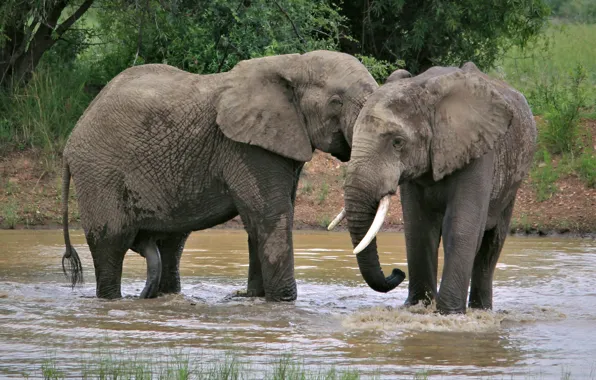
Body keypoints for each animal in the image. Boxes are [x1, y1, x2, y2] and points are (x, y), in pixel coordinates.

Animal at [61, 50, 378, 302]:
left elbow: (259, 221)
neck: (293, 64)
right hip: (99, 171)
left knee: (171, 243)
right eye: (336, 101)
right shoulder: (245, 147)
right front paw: (283, 301)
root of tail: (71, 138)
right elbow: (271, 215)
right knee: (111, 243)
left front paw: (255, 298)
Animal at [328, 62, 536, 314]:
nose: (396, 272)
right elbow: (419, 229)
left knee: (491, 245)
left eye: (398, 142)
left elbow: (460, 227)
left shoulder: (478, 151)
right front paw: (418, 307)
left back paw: (481, 310)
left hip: (512, 184)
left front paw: (449, 313)